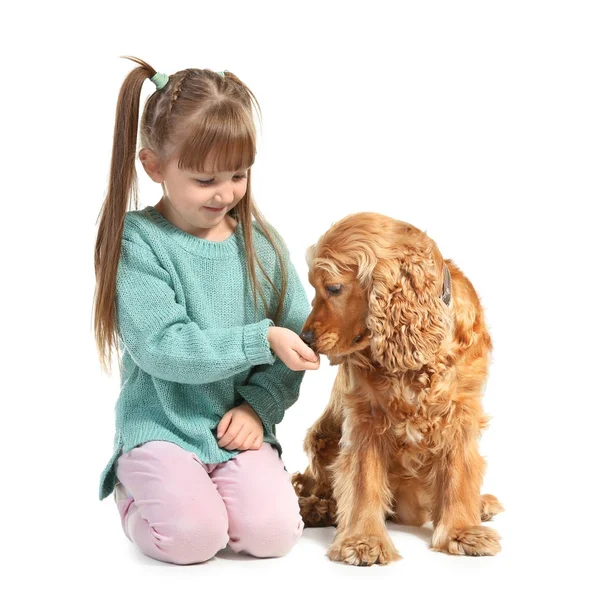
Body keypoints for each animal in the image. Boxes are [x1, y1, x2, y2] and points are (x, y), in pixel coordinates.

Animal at [294, 213, 502, 564]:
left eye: (333, 288)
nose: (304, 338)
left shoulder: (461, 411)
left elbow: (458, 473)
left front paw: (462, 532)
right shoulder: (366, 416)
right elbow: (363, 480)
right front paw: (363, 541)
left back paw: (482, 504)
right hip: (321, 442)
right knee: (309, 484)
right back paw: (316, 508)